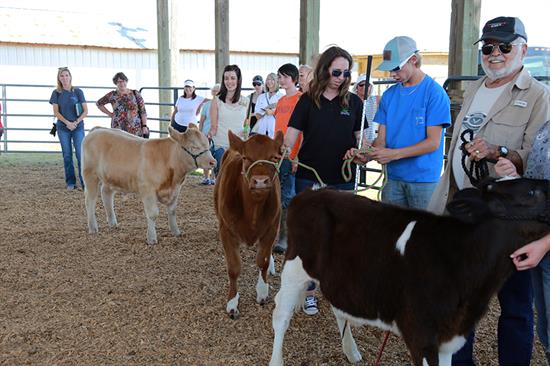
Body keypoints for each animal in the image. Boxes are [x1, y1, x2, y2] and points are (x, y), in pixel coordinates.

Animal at [82, 124, 216, 244]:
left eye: (207, 144)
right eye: (193, 147)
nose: (213, 162)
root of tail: (97, 129)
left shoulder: (176, 189)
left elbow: (172, 211)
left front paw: (176, 232)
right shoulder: (148, 190)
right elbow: (153, 214)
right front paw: (151, 238)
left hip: (110, 178)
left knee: (106, 195)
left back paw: (113, 223)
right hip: (90, 175)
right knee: (90, 201)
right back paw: (93, 227)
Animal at [215, 130, 286, 318]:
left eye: (274, 157)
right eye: (245, 157)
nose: (260, 181)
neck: (252, 210)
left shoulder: (272, 227)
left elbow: (263, 260)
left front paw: (262, 291)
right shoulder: (225, 229)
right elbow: (234, 267)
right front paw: (232, 302)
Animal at [270, 179, 550, 364]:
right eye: (532, 191)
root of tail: (312, 191)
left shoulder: (448, 339)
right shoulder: (421, 336)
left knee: (339, 309)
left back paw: (351, 351)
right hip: (294, 268)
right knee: (281, 316)